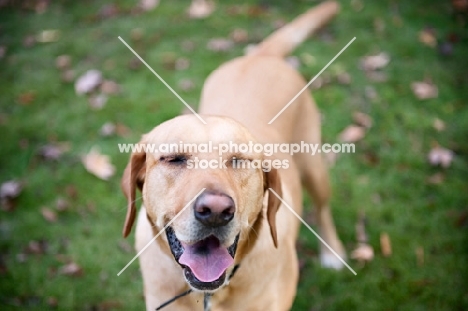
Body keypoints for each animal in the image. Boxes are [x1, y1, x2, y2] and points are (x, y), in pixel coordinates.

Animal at [121, 1, 344, 310]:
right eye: (175, 158)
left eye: (239, 160)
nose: (215, 211)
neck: (212, 292)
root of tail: (259, 55)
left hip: (313, 166)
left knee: (323, 209)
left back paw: (333, 253)